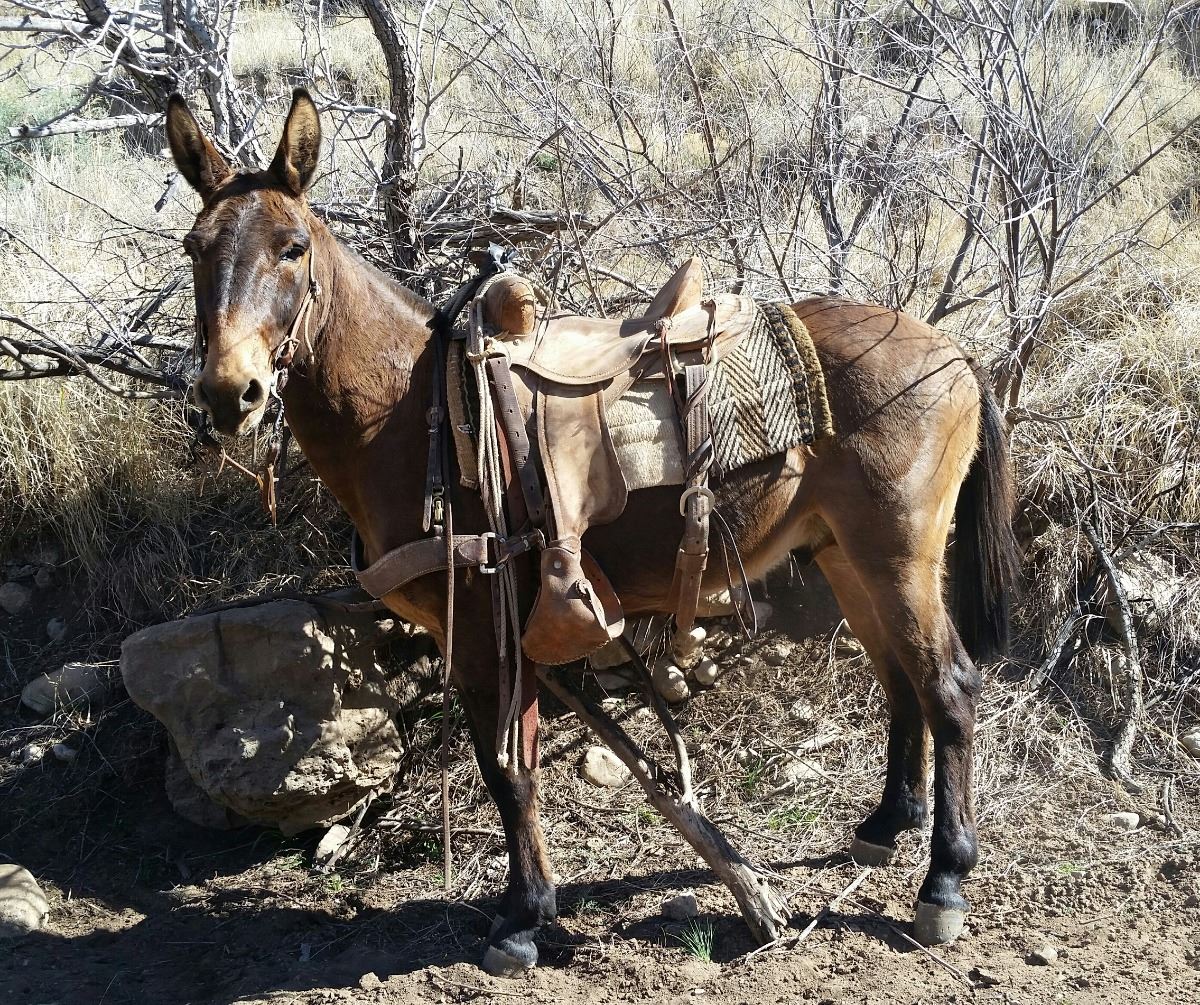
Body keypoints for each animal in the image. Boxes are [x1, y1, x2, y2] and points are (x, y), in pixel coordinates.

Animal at [165, 89, 1019, 974]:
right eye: (195, 248)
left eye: (292, 248)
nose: (230, 392)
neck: (409, 414)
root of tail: (955, 352)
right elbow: (516, 763)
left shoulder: (487, 633)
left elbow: (509, 772)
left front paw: (521, 917)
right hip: (846, 555)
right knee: (900, 679)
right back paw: (887, 824)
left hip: (898, 555)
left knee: (949, 685)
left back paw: (944, 881)